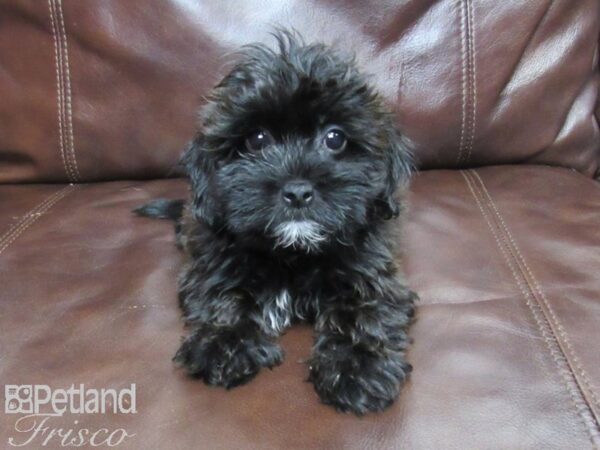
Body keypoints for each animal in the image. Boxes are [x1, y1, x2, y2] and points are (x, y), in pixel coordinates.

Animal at [136, 31, 418, 416]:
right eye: (257, 139)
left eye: (335, 138)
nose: (297, 191)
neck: (293, 252)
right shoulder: (210, 260)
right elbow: (223, 294)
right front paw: (223, 343)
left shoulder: (376, 271)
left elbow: (365, 308)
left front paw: (358, 367)